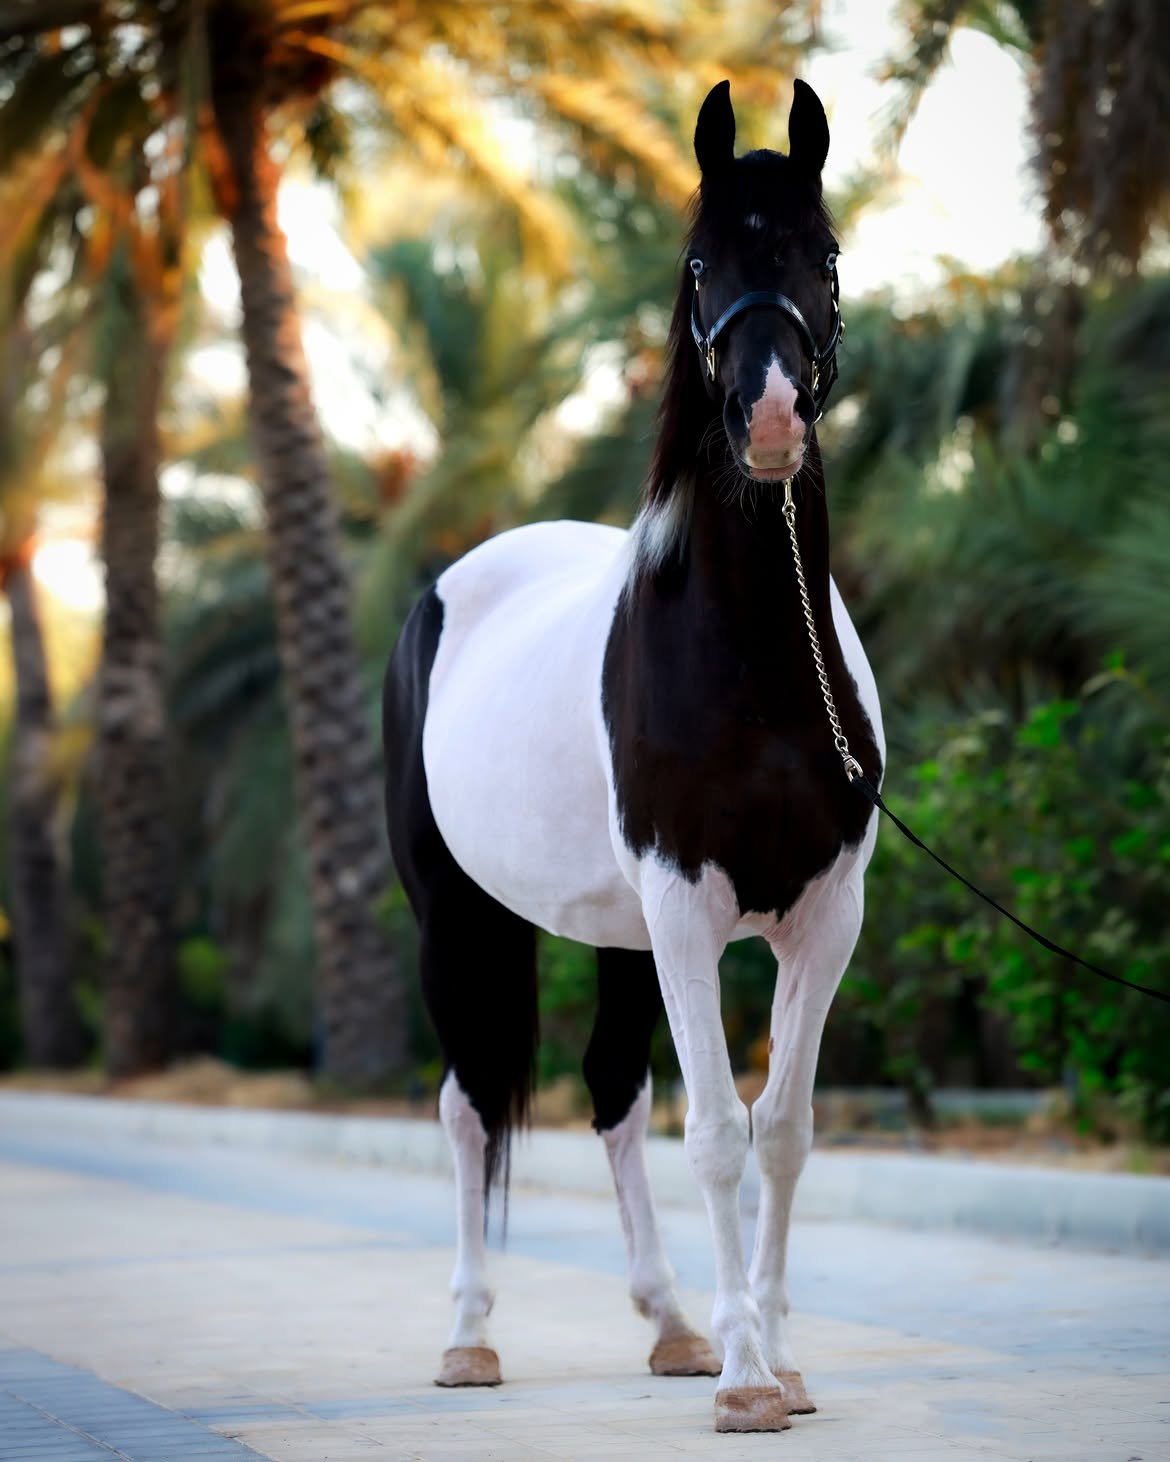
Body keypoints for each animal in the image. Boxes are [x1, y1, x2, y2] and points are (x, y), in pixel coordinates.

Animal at [382, 77, 884, 1435]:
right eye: (701, 261)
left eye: (822, 254)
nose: (769, 421)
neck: (756, 667)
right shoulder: (686, 904)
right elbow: (714, 1132)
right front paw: (750, 1379)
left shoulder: (826, 915)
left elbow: (783, 1130)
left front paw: (771, 1355)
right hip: (459, 916)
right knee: (465, 1102)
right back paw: (466, 1338)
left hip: (615, 934)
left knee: (612, 1090)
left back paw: (669, 1324)